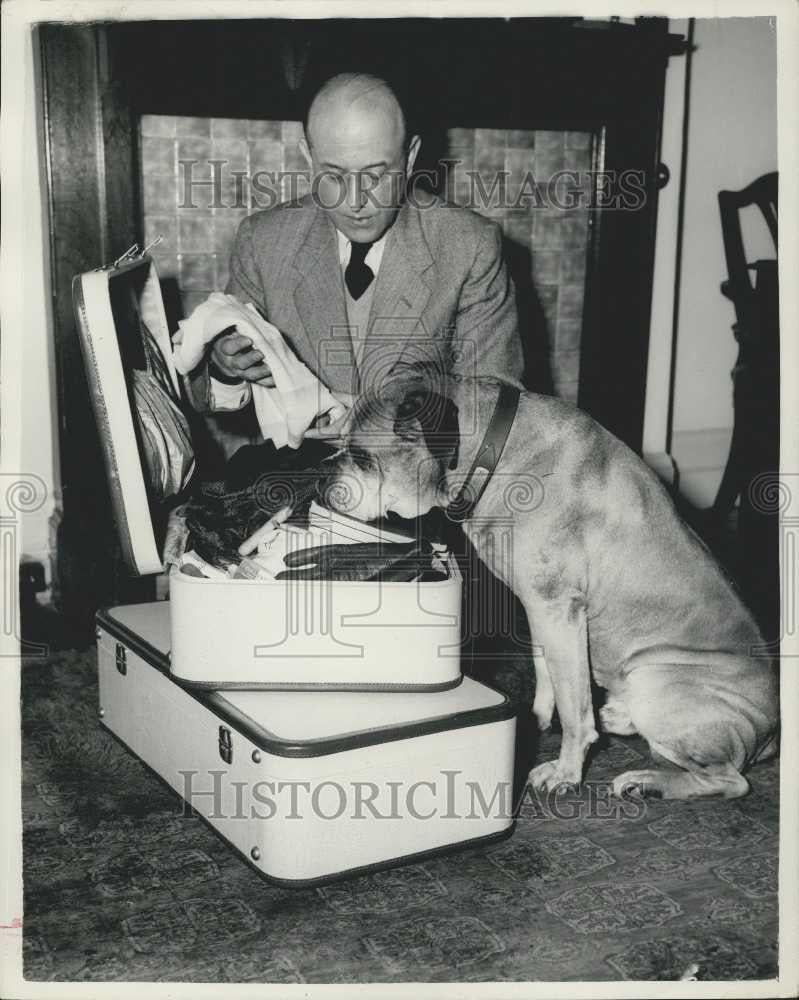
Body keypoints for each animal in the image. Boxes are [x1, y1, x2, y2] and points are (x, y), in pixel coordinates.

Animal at [322, 372, 780, 800]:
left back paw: (646, 781)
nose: (323, 480)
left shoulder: (557, 610)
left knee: (730, 781)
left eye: (361, 456)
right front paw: (540, 717)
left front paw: (565, 772)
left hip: (658, 682)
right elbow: (548, 669)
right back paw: (619, 719)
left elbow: (575, 708)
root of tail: (771, 731)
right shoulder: (542, 612)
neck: (493, 453)